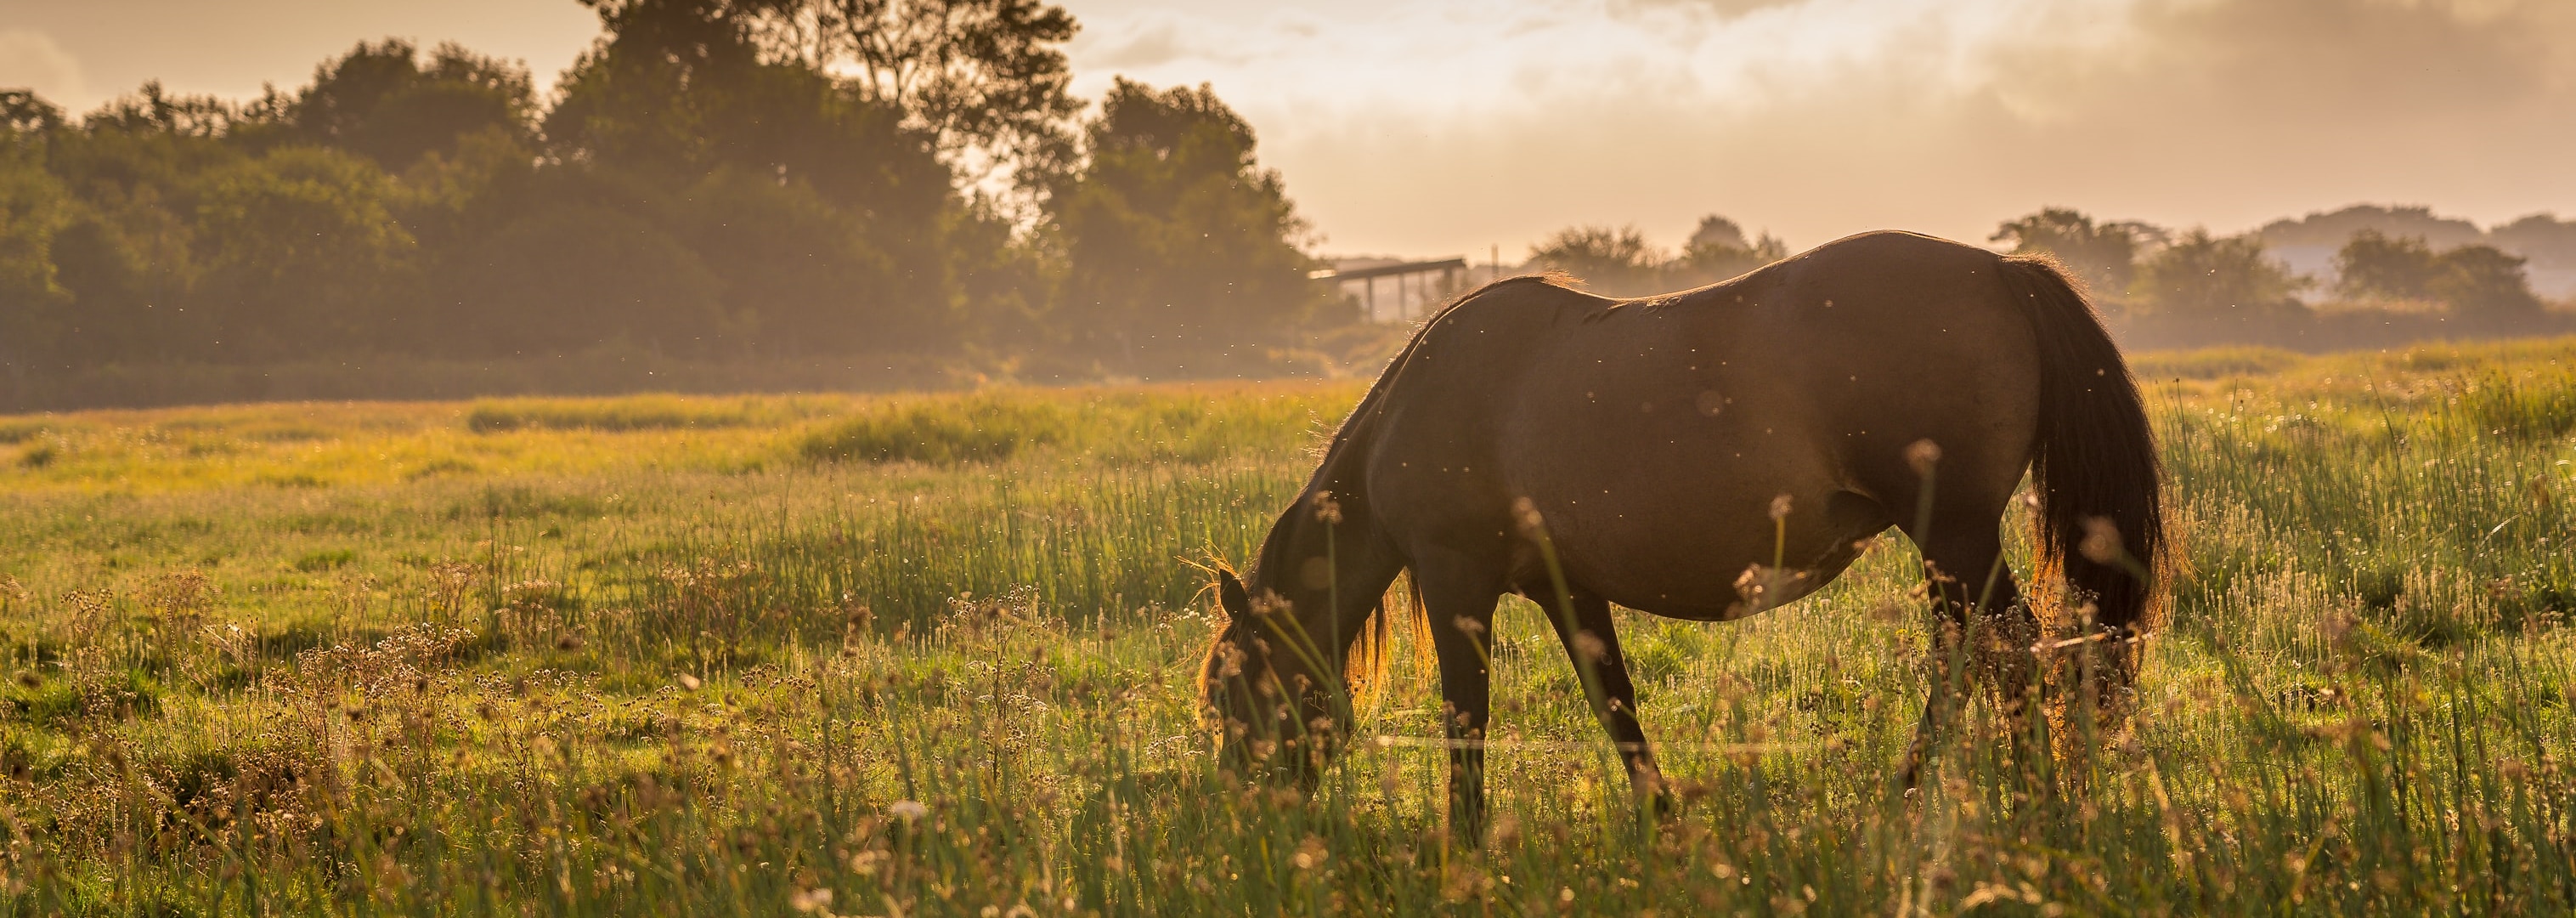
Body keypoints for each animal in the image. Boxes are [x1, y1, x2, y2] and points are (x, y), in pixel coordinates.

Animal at [1195, 228, 2163, 830]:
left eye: (1229, 694)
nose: (1247, 818)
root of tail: (2001, 270)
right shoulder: (1565, 585)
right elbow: (1613, 700)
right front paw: (1660, 818)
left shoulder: (1453, 578)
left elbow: (1466, 718)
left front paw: (1459, 845)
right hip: (1952, 548)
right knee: (1981, 658)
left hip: (1955, 537)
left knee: (2007, 657)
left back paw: (2003, 801)